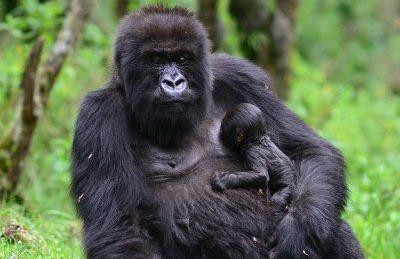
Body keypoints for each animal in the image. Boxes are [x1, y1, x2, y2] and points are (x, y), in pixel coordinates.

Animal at [72, 4, 362, 259]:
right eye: (155, 59)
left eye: (182, 58)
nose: (174, 82)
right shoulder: (98, 117)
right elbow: (120, 226)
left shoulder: (238, 76)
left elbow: (308, 150)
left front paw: (298, 231)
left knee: (330, 224)